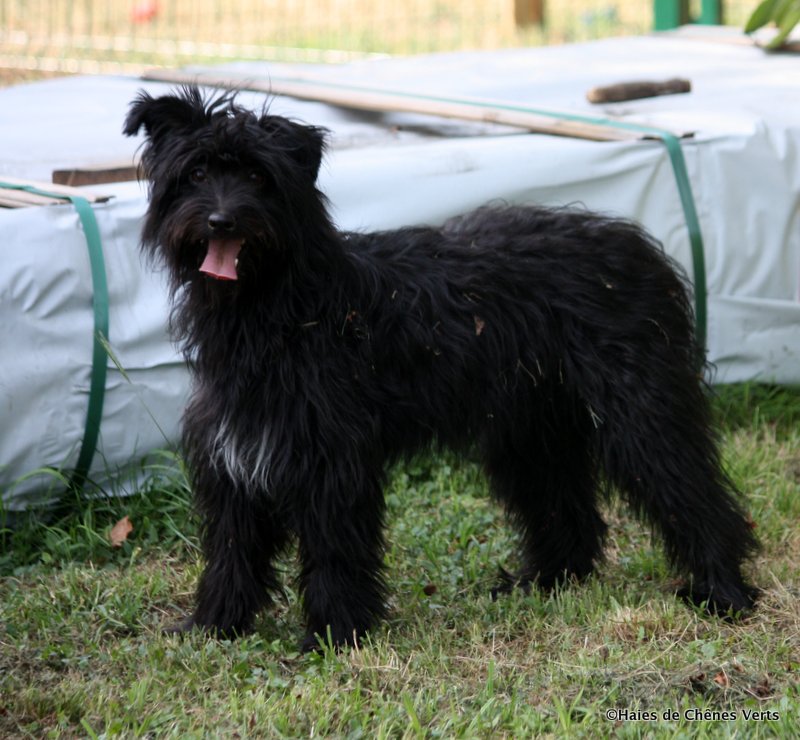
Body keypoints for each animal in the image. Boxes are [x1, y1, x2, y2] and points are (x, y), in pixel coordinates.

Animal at [123, 86, 756, 652]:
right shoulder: (235, 457)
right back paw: (549, 582)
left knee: (692, 492)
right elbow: (232, 550)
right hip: (533, 429)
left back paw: (723, 591)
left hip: (640, 412)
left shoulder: (332, 460)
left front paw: (334, 635)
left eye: (259, 178)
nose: (222, 221)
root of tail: (639, 247)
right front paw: (214, 626)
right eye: (196, 173)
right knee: (566, 509)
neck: (281, 305)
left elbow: (333, 549)